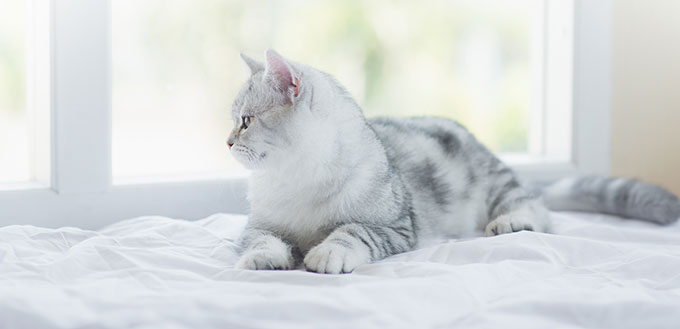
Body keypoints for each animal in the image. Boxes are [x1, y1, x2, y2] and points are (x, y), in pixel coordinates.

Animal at [228, 49, 680, 274]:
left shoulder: (394, 225)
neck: (295, 178)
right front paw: (265, 258)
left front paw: (327, 253)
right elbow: (258, 240)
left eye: (245, 121)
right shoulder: (259, 224)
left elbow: (352, 232)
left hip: (498, 184)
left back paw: (512, 221)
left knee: (534, 205)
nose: (227, 141)